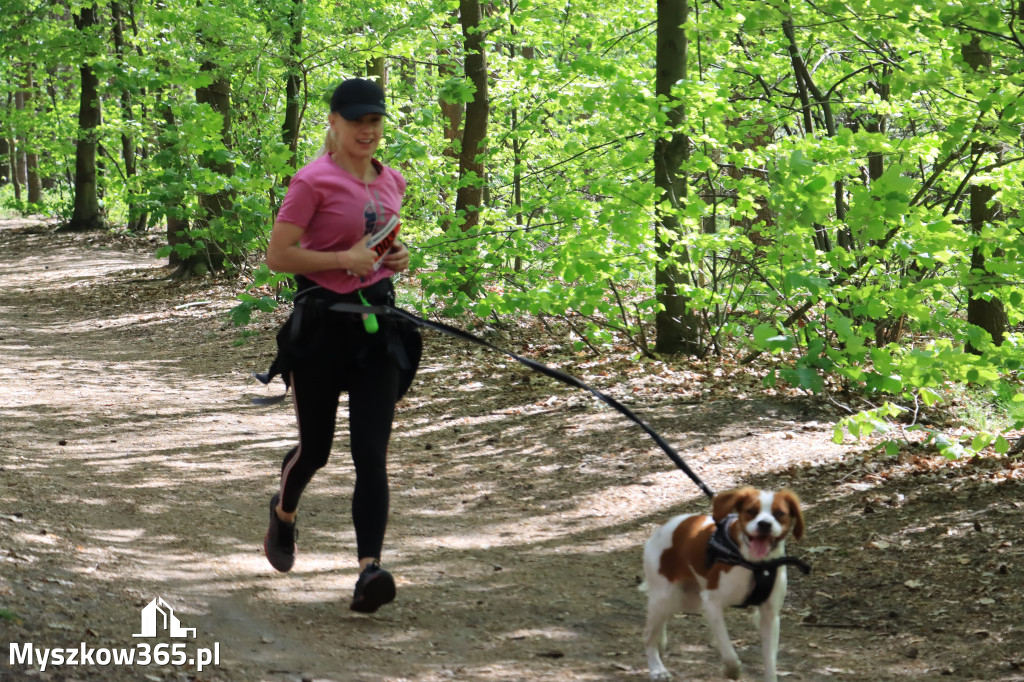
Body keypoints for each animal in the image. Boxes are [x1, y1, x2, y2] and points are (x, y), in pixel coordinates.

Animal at [638, 485, 806, 675]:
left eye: (779, 513)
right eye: (751, 511)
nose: (764, 524)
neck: (755, 565)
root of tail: (664, 527)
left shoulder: (770, 615)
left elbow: (770, 662)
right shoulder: (712, 604)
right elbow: (727, 648)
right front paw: (732, 670)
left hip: (684, 598)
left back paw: (661, 642)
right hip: (664, 596)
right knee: (648, 636)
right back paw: (657, 669)